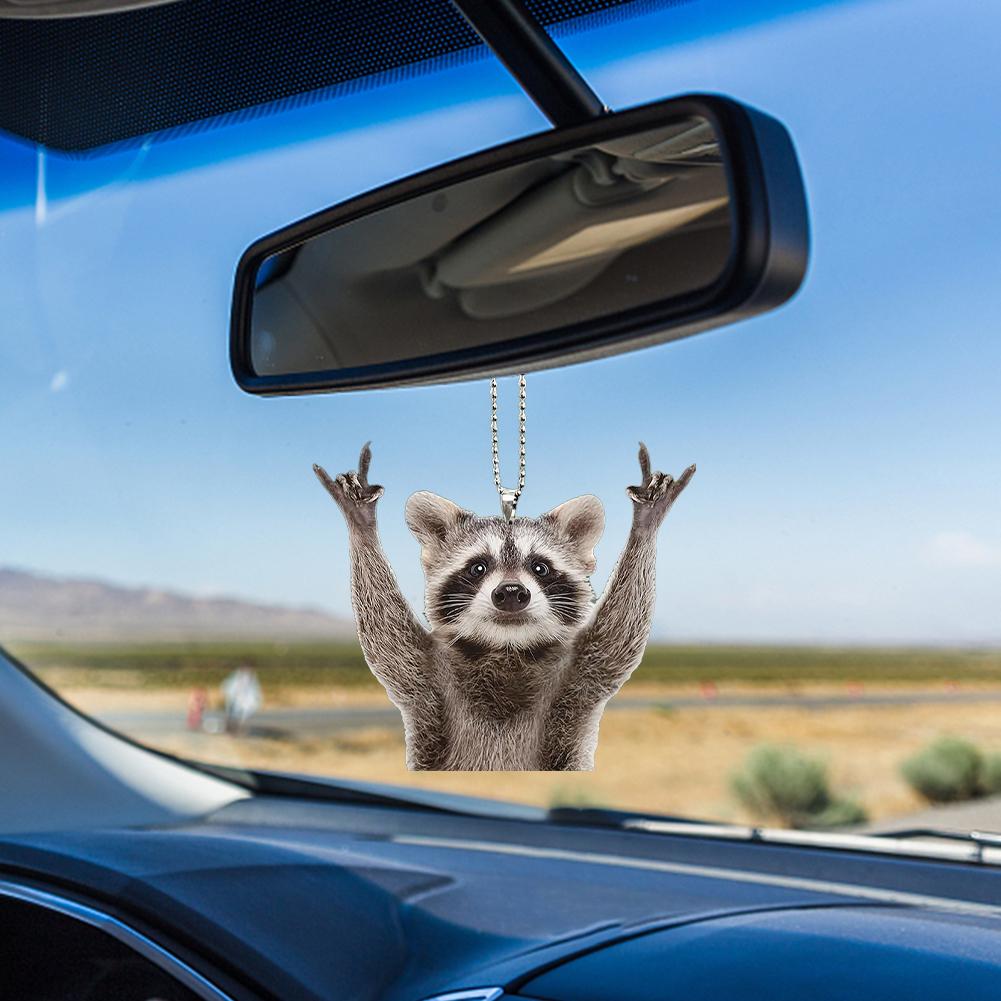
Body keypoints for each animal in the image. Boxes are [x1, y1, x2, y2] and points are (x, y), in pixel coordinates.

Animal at [314, 442, 694, 771]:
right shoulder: (426, 676)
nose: (511, 592)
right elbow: (386, 637)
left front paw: (645, 524)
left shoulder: (579, 677)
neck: (507, 648)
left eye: (540, 567)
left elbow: (619, 635)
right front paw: (362, 525)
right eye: (478, 567)